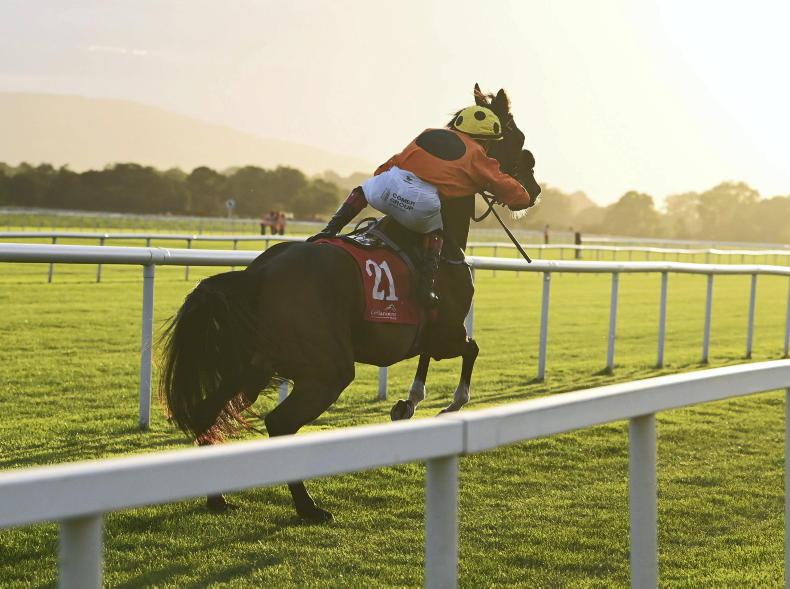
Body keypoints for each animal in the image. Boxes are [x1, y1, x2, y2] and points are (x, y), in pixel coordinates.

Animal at [158, 85, 542, 522]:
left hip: (252, 366)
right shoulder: (448, 331)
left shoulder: (426, 332)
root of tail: (257, 273)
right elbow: (471, 349)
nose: (533, 189)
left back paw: (218, 497)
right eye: (517, 140)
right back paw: (308, 507)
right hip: (327, 369)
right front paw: (448, 405)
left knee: (210, 410)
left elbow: (427, 356)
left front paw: (407, 403)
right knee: (280, 424)